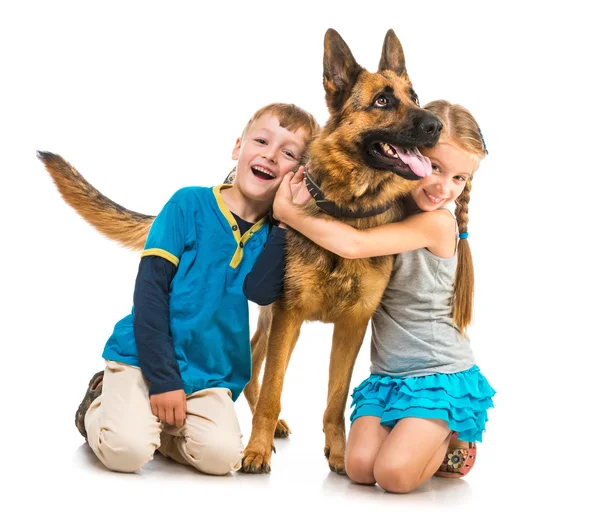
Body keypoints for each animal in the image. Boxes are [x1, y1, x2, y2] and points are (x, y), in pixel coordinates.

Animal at [37, 30, 440, 474]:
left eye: (414, 96)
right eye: (382, 101)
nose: (436, 125)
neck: (344, 214)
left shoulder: (352, 324)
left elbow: (335, 401)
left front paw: (339, 453)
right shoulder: (288, 314)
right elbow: (273, 390)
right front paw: (257, 450)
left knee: (252, 359)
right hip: (273, 319)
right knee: (254, 366)